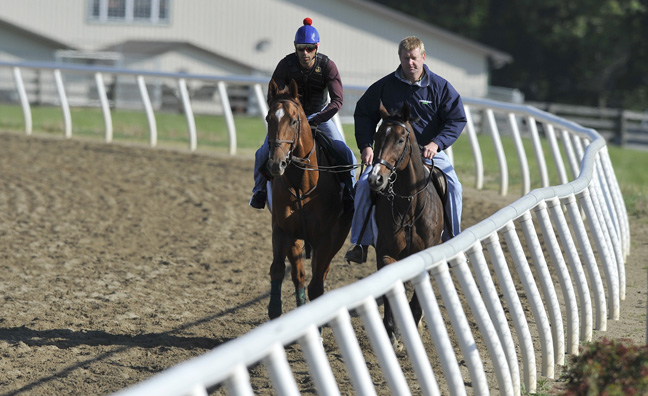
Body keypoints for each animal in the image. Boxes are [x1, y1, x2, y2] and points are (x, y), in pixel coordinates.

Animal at [266, 79, 352, 320]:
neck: (301, 185)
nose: (276, 164)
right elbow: (279, 270)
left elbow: (317, 284)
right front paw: (274, 310)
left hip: (338, 236)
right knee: (299, 275)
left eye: (294, 120)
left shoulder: (325, 238)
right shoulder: (282, 230)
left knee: (321, 274)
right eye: (268, 118)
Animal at [368, 101, 442, 344]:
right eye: (377, 136)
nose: (376, 178)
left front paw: (414, 321)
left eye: (401, 140)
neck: (409, 205)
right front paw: (391, 331)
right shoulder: (386, 254)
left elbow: (418, 298)